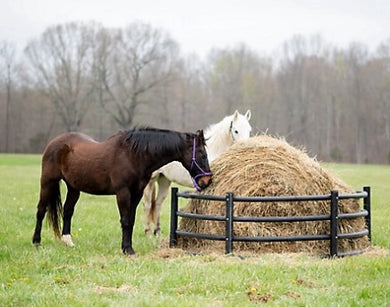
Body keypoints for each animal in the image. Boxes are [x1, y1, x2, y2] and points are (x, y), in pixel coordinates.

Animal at [32, 127, 212, 255]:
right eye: (202, 154)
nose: (207, 181)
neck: (133, 155)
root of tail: (54, 142)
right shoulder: (123, 192)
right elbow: (125, 221)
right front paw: (128, 250)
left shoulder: (137, 193)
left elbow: (130, 220)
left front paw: (127, 247)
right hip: (47, 182)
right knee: (41, 210)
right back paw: (36, 241)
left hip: (74, 188)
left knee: (68, 211)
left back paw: (68, 241)